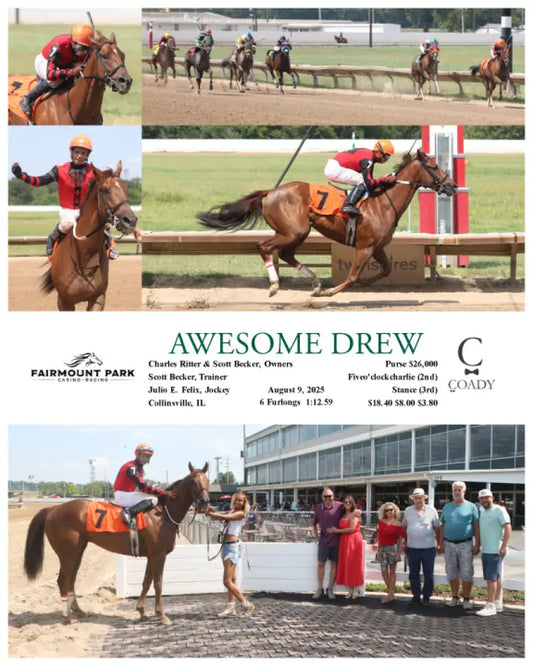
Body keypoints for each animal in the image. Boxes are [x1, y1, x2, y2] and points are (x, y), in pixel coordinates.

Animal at [23, 462, 209, 625]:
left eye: (207, 480)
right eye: (194, 481)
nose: (205, 502)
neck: (162, 512)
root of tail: (52, 509)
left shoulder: (151, 555)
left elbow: (146, 582)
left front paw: (142, 611)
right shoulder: (159, 554)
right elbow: (158, 584)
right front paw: (162, 615)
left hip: (78, 552)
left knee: (71, 580)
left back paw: (78, 610)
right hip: (67, 554)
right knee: (63, 580)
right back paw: (67, 617)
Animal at [40, 162, 138, 311]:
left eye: (125, 189)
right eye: (105, 190)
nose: (130, 220)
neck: (85, 258)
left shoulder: (98, 298)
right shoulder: (64, 301)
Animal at [197, 150, 457, 298]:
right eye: (433, 166)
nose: (452, 186)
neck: (383, 202)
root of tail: (271, 191)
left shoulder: (377, 247)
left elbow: (386, 269)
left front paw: (362, 282)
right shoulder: (365, 247)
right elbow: (351, 276)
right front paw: (332, 291)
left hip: (299, 232)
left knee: (287, 254)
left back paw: (315, 283)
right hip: (293, 231)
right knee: (264, 247)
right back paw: (275, 286)